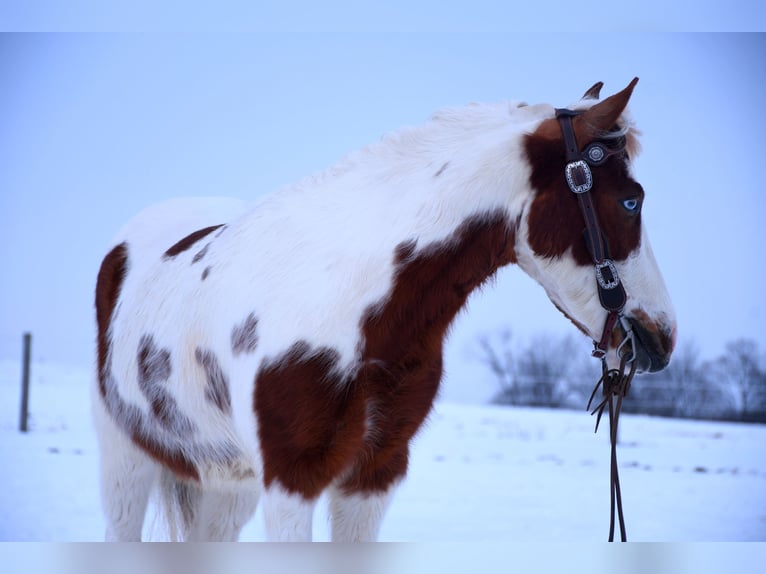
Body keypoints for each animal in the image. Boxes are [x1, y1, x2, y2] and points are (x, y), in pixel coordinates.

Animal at [94, 79, 680, 544]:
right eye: (631, 200)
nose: (661, 338)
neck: (348, 304)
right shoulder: (291, 481)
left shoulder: (374, 475)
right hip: (126, 462)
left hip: (227, 484)